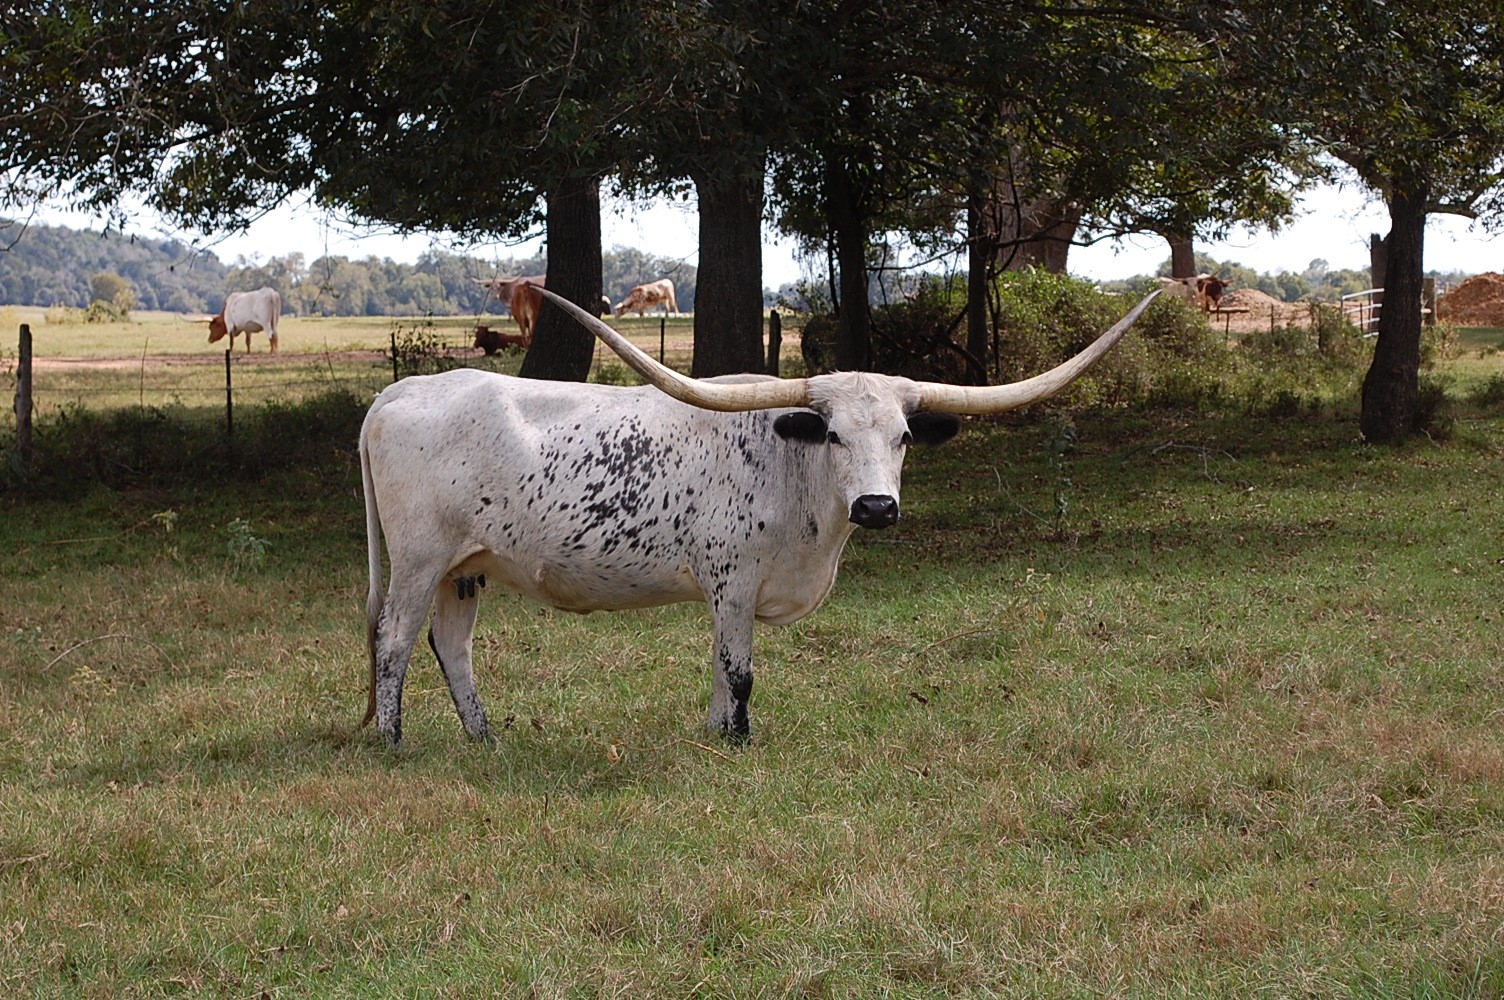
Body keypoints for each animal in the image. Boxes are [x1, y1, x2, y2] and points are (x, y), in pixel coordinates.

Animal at [358, 287, 1159, 747]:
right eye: (833, 434)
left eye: (903, 437)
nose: (877, 506)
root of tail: (397, 394)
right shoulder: (733, 581)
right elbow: (740, 670)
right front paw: (740, 739)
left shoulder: (731, 592)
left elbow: (720, 664)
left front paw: (718, 734)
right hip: (420, 559)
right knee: (394, 639)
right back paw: (393, 740)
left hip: (467, 566)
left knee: (451, 644)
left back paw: (484, 737)